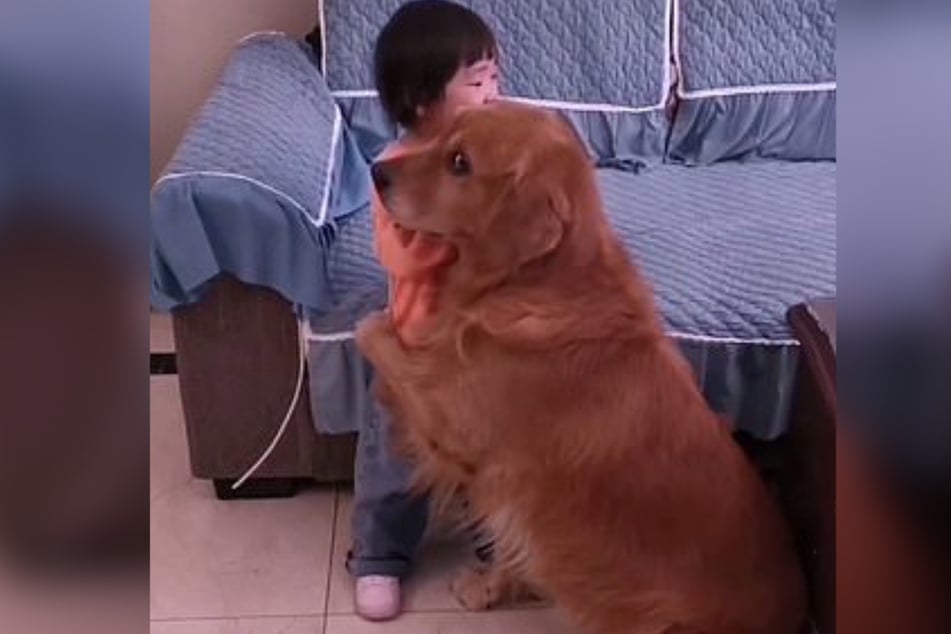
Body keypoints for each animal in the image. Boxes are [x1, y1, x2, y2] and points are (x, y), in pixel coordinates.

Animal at [360, 103, 808, 632]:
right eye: (444, 135)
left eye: (460, 163)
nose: (376, 172)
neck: (542, 283)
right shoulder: (513, 486)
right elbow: (512, 545)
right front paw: (490, 587)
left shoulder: (464, 429)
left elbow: (380, 338)